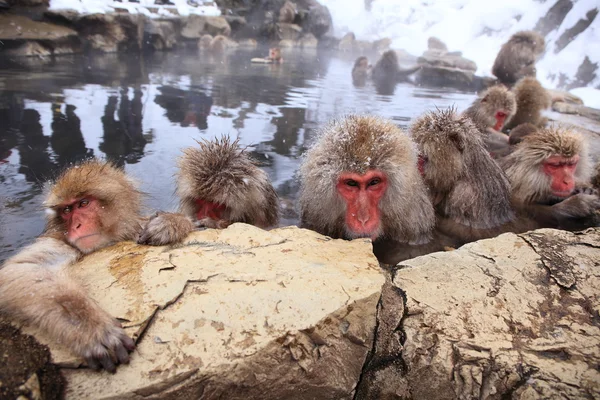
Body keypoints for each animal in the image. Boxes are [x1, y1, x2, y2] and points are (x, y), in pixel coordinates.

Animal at [0, 161, 193, 374]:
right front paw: (91, 329)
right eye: (67, 210)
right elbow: (21, 268)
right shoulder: (61, 243)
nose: (76, 225)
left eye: (83, 204)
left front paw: (168, 224)